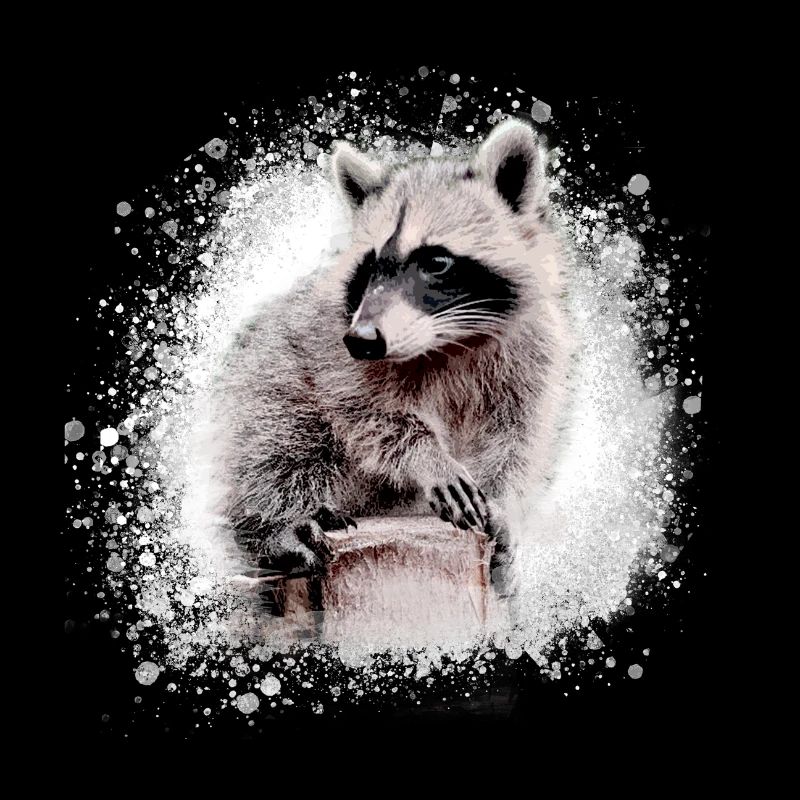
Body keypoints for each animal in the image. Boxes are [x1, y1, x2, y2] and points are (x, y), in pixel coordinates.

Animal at [210, 119, 572, 591]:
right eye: (370, 264)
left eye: (436, 262)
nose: (362, 340)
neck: (447, 340)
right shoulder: (332, 347)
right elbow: (366, 413)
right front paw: (426, 455)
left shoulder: (532, 348)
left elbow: (517, 435)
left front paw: (503, 503)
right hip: (271, 369)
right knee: (278, 438)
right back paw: (274, 523)